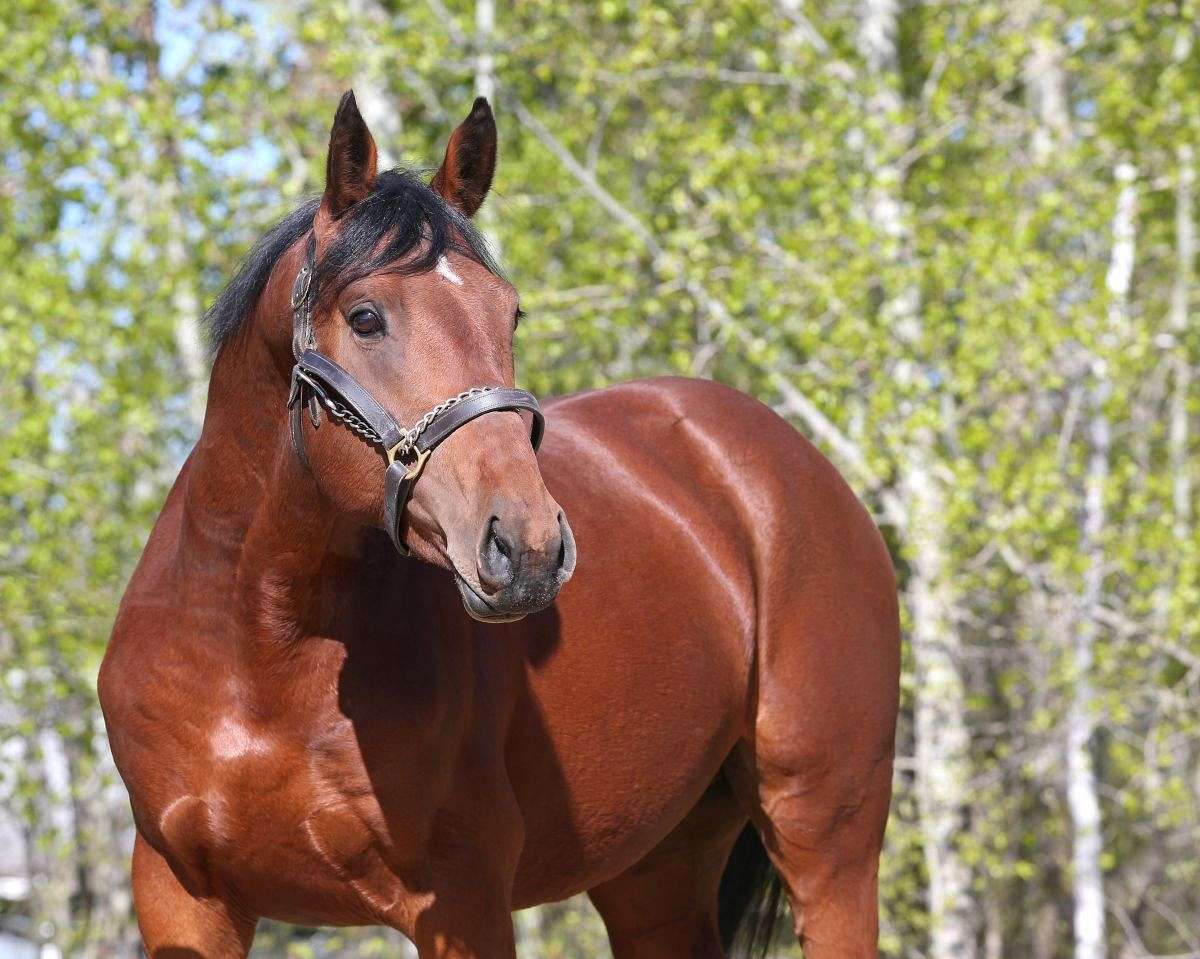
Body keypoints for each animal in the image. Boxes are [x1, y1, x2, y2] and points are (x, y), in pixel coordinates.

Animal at [98, 91, 900, 958]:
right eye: (367, 317)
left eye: (508, 313)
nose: (529, 547)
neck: (257, 650)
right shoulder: (183, 899)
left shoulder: (463, 899)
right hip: (657, 869)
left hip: (826, 840)